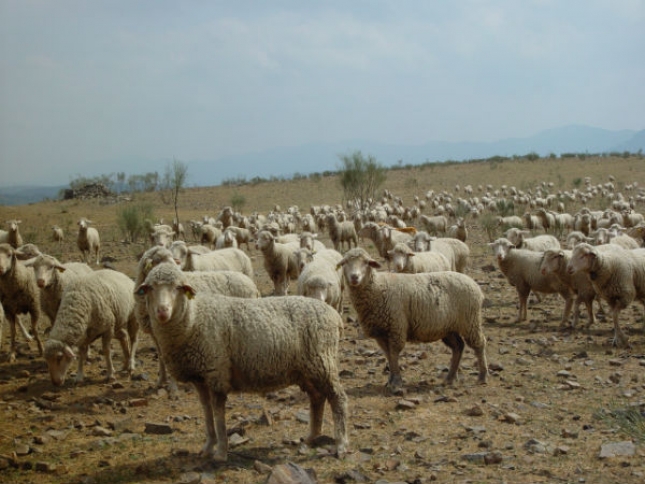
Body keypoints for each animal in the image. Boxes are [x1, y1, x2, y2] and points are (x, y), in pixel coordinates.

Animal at [135, 262, 348, 464]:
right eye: (150, 288)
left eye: (178, 287)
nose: (162, 311)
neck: (194, 318)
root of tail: (335, 316)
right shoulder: (201, 378)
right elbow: (207, 412)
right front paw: (208, 446)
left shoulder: (217, 372)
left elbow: (219, 415)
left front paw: (221, 452)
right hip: (308, 370)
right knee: (317, 398)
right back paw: (311, 436)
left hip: (323, 361)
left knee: (338, 398)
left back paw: (340, 444)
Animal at [338, 246, 488, 394]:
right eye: (345, 262)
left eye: (366, 262)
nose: (354, 277)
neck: (378, 287)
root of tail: (474, 284)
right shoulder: (381, 332)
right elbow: (388, 354)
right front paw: (390, 380)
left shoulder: (396, 326)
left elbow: (394, 353)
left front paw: (396, 382)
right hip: (448, 327)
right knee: (458, 346)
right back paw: (450, 378)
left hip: (470, 320)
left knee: (479, 344)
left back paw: (482, 376)